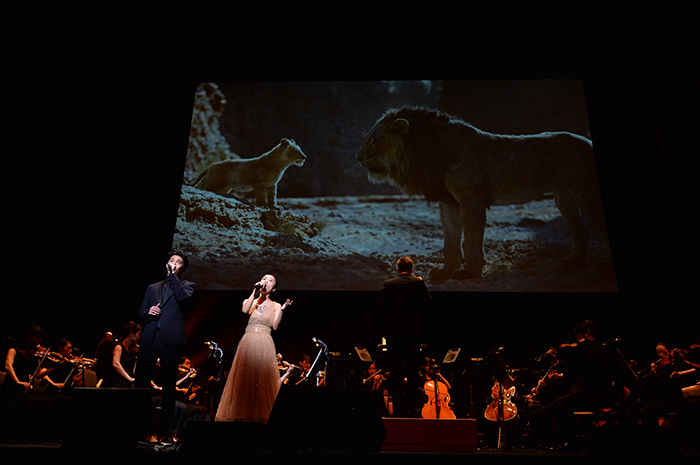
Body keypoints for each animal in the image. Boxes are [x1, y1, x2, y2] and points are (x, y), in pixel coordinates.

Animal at [356, 107, 608, 278]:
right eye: (366, 139)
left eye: (374, 140)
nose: (358, 158)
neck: (427, 151)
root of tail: (588, 141)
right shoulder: (449, 202)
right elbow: (451, 239)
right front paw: (446, 271)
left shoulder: (471, 200)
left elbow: (472, 238)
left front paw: (470, 272)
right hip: (563, 195)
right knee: (582, 232)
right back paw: (572, 263)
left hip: (586, 192)